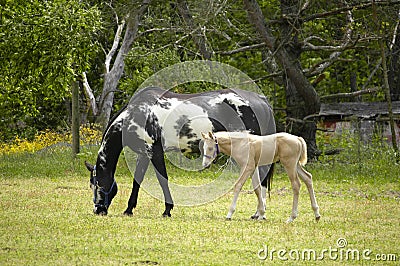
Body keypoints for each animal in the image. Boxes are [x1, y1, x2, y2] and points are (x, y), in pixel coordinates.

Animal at [85, 86, 276, 217]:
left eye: (97, 183)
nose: (98, 210)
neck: (136, 114)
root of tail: (260, 99)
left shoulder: (155, 152)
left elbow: (163, 180)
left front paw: (167, 210)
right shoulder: (144, 154)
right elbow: (137, 181)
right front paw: (129, 209)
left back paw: (259, 213)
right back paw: (258, 213)